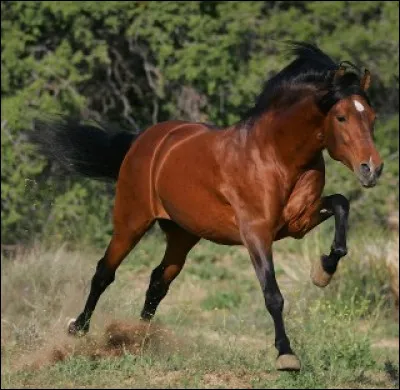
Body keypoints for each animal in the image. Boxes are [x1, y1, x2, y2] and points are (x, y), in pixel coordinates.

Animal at [30, 40, 382, 372]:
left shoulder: (297, 222)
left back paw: (139, 339)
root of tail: (144, 140)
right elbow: (273, 295)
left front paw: (324, 270)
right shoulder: (256, 232)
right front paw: (286, 355)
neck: (276, 155)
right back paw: (78, 329)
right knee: (104, 272)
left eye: (372, 117)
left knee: (158, 281)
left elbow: (341, 205)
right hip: (132, 221)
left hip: (183, 234)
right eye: (341, 117)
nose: (372, 169)